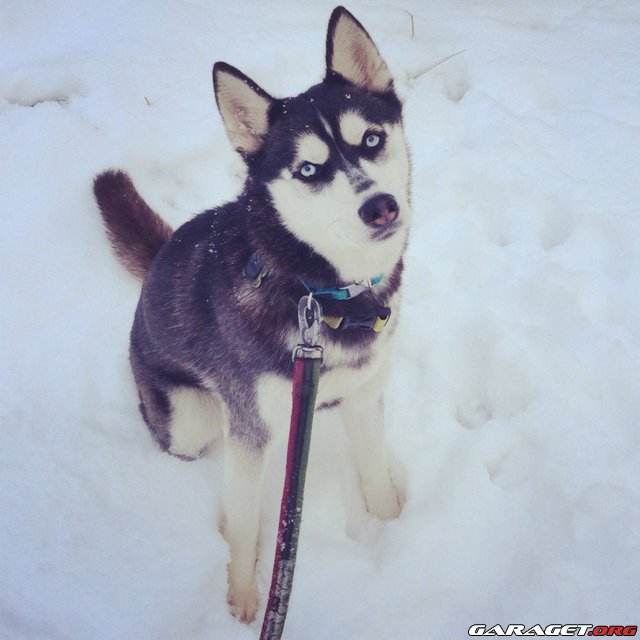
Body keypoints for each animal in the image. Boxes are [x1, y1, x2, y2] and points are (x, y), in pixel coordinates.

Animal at [94, 6, 411, 623]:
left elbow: (376, 475)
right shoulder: (253, 427)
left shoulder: (365, 395)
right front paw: (242, 592)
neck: (321, 292)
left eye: (372, 139)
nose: (380, 207)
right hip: (190, 423)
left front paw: (397, 528)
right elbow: (243, 526)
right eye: (309, 170)